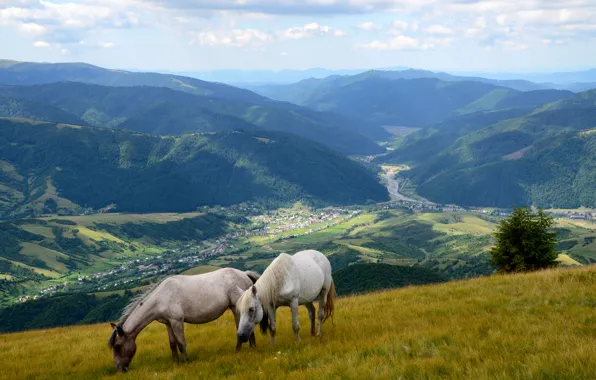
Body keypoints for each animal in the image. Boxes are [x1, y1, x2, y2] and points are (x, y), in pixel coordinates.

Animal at [107, 268, 260, 372]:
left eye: (118, 347)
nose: (119, 369)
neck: (160, 298)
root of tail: (244, 273)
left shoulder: (177, 321)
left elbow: (181, 343)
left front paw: (186, 362)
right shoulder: (168, 323)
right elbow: (172, 344)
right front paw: (176, 363)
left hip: (236, 308)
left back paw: (238, 351)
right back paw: (252, 348)